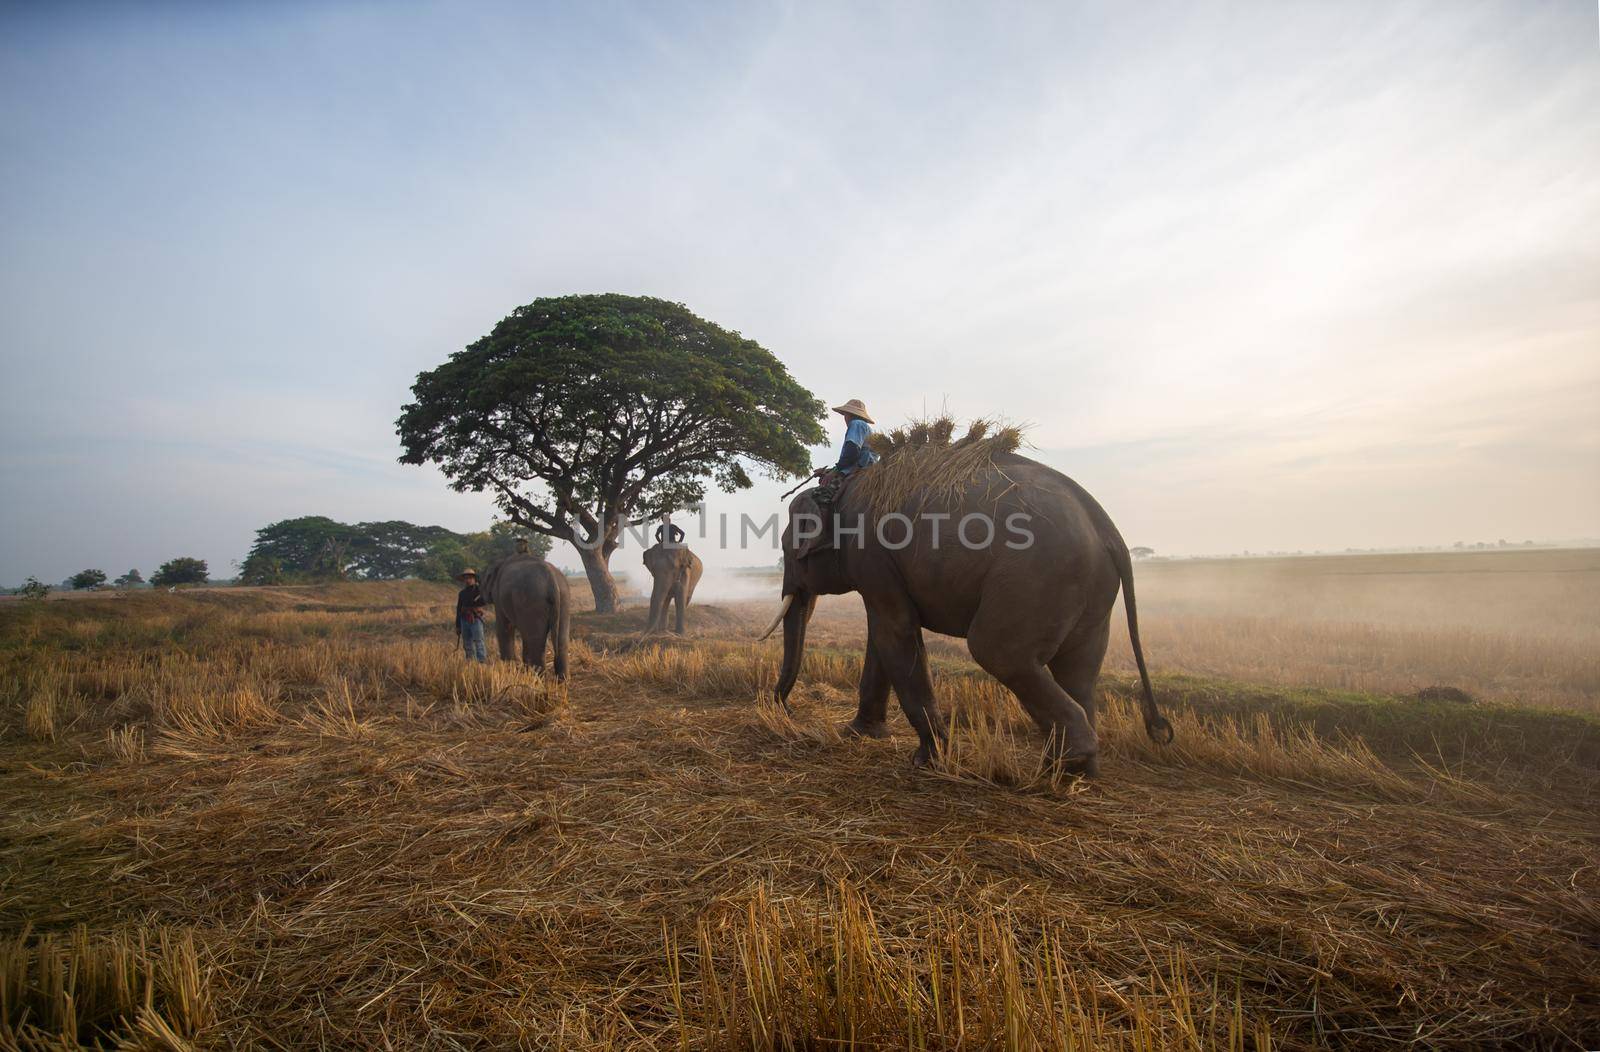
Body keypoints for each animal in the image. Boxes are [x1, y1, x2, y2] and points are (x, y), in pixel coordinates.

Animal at [480, 549, 569, 681]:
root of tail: (552, 580)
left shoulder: (498, 596)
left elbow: (504, 628)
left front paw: (509, 670)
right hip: (564, 599)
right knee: (560, 640)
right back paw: (562, 681)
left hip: (532, 600)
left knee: (536, 641)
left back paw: (538, 679)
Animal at [755, 441, 1171, 770]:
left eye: (789, 548)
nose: (782, 708)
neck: (844, 487)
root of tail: (1108, 529)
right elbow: (882, 636)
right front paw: (861, 732)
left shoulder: (871, 553)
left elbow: (896, 629)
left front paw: (928, 759)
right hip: (1091, 594)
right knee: (1079, 671)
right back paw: (1075, 772)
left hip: (1038, 576)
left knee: (998, 652)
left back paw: (1066, 765)